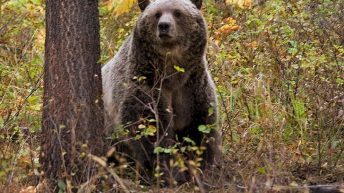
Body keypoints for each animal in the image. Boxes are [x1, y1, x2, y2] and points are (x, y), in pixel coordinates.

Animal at [101, 0, 222, 184]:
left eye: (178, 12)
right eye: (157, 13)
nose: (164, 26)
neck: (172, 73)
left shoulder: (192, 88)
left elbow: (200, 128)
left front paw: (199, 168)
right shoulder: (145, 85)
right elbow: (151, 129)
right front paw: (169, 173)